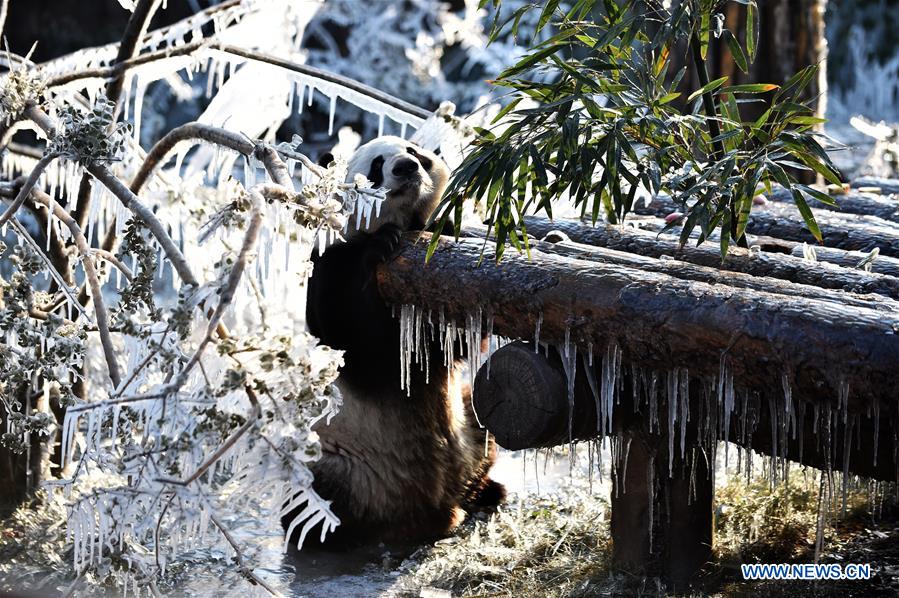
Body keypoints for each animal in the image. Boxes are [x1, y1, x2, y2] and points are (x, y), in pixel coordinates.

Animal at [283, 136, 505, 548]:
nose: (405, 167)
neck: (402, 223)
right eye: (376, 165)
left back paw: (485, 491)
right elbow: (349, 338)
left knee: (484, 423)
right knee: (314, 502)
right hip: (341, 460)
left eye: (415, 152)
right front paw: (379, 248)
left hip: (468, 425)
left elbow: (450, 344)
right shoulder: (330, 261)